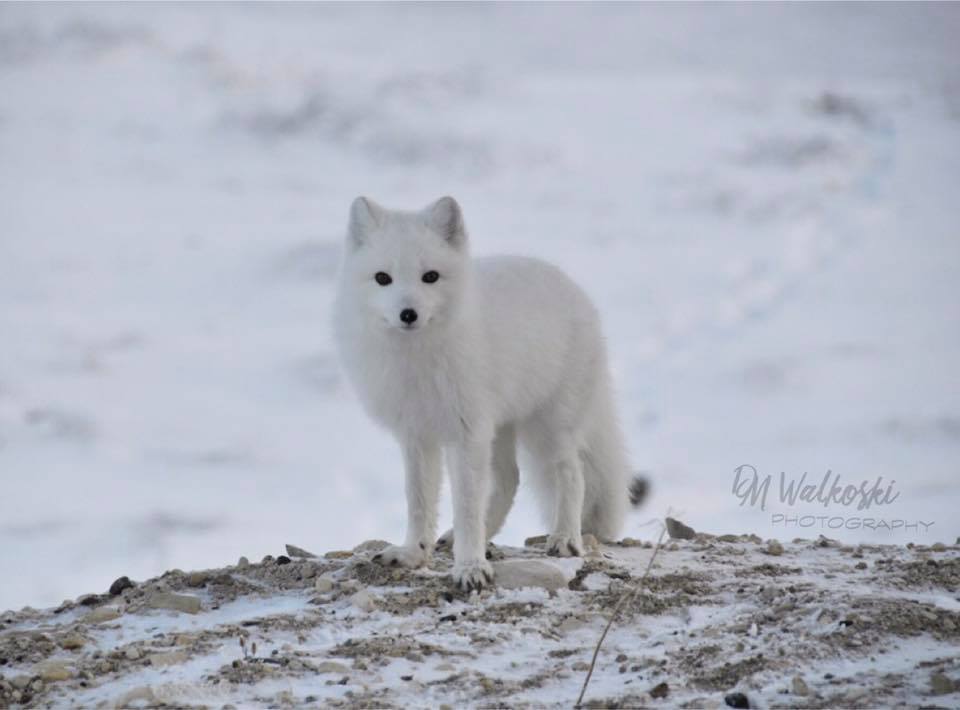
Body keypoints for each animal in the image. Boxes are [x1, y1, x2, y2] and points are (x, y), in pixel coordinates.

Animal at [332, 196, 645, 590]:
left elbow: (466, 506)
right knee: (509, 479)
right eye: (382, 278)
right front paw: (413, 553)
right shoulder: (417, 435)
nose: (408, 313)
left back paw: (564, 538)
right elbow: (418, 501)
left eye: (430, 276)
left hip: (548, 427)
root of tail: (572, 287)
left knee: (572, 473)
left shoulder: (466, 433)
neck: (417, 360)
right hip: (501, 428)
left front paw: (470, 567)